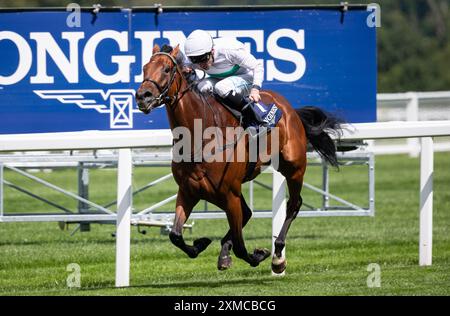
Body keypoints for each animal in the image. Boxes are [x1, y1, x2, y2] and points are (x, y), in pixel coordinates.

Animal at [136, 44, 342, 274]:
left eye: (166, 69)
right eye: (144, 68)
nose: (143, 96)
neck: (200, 137)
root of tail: (289, 108)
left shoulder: (229, 194)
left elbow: (241, 247)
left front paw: (259, 255)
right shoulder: (189, 191)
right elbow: (176, 235)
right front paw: (201, 244)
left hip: (293, 167)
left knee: (293, 204)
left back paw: (278, 255)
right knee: (249, 212)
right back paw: (226, 252)